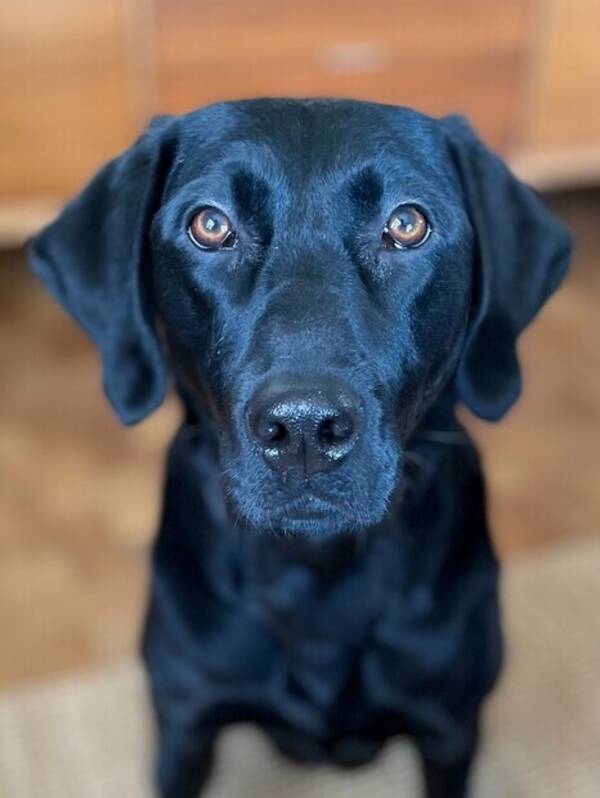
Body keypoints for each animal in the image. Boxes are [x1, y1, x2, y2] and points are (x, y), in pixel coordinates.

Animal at [30, 100, 568, 798]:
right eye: (210, 225)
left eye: (407, 223)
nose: (306, 430)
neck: (317, 574)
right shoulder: (184, 725)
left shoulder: (451, 729)